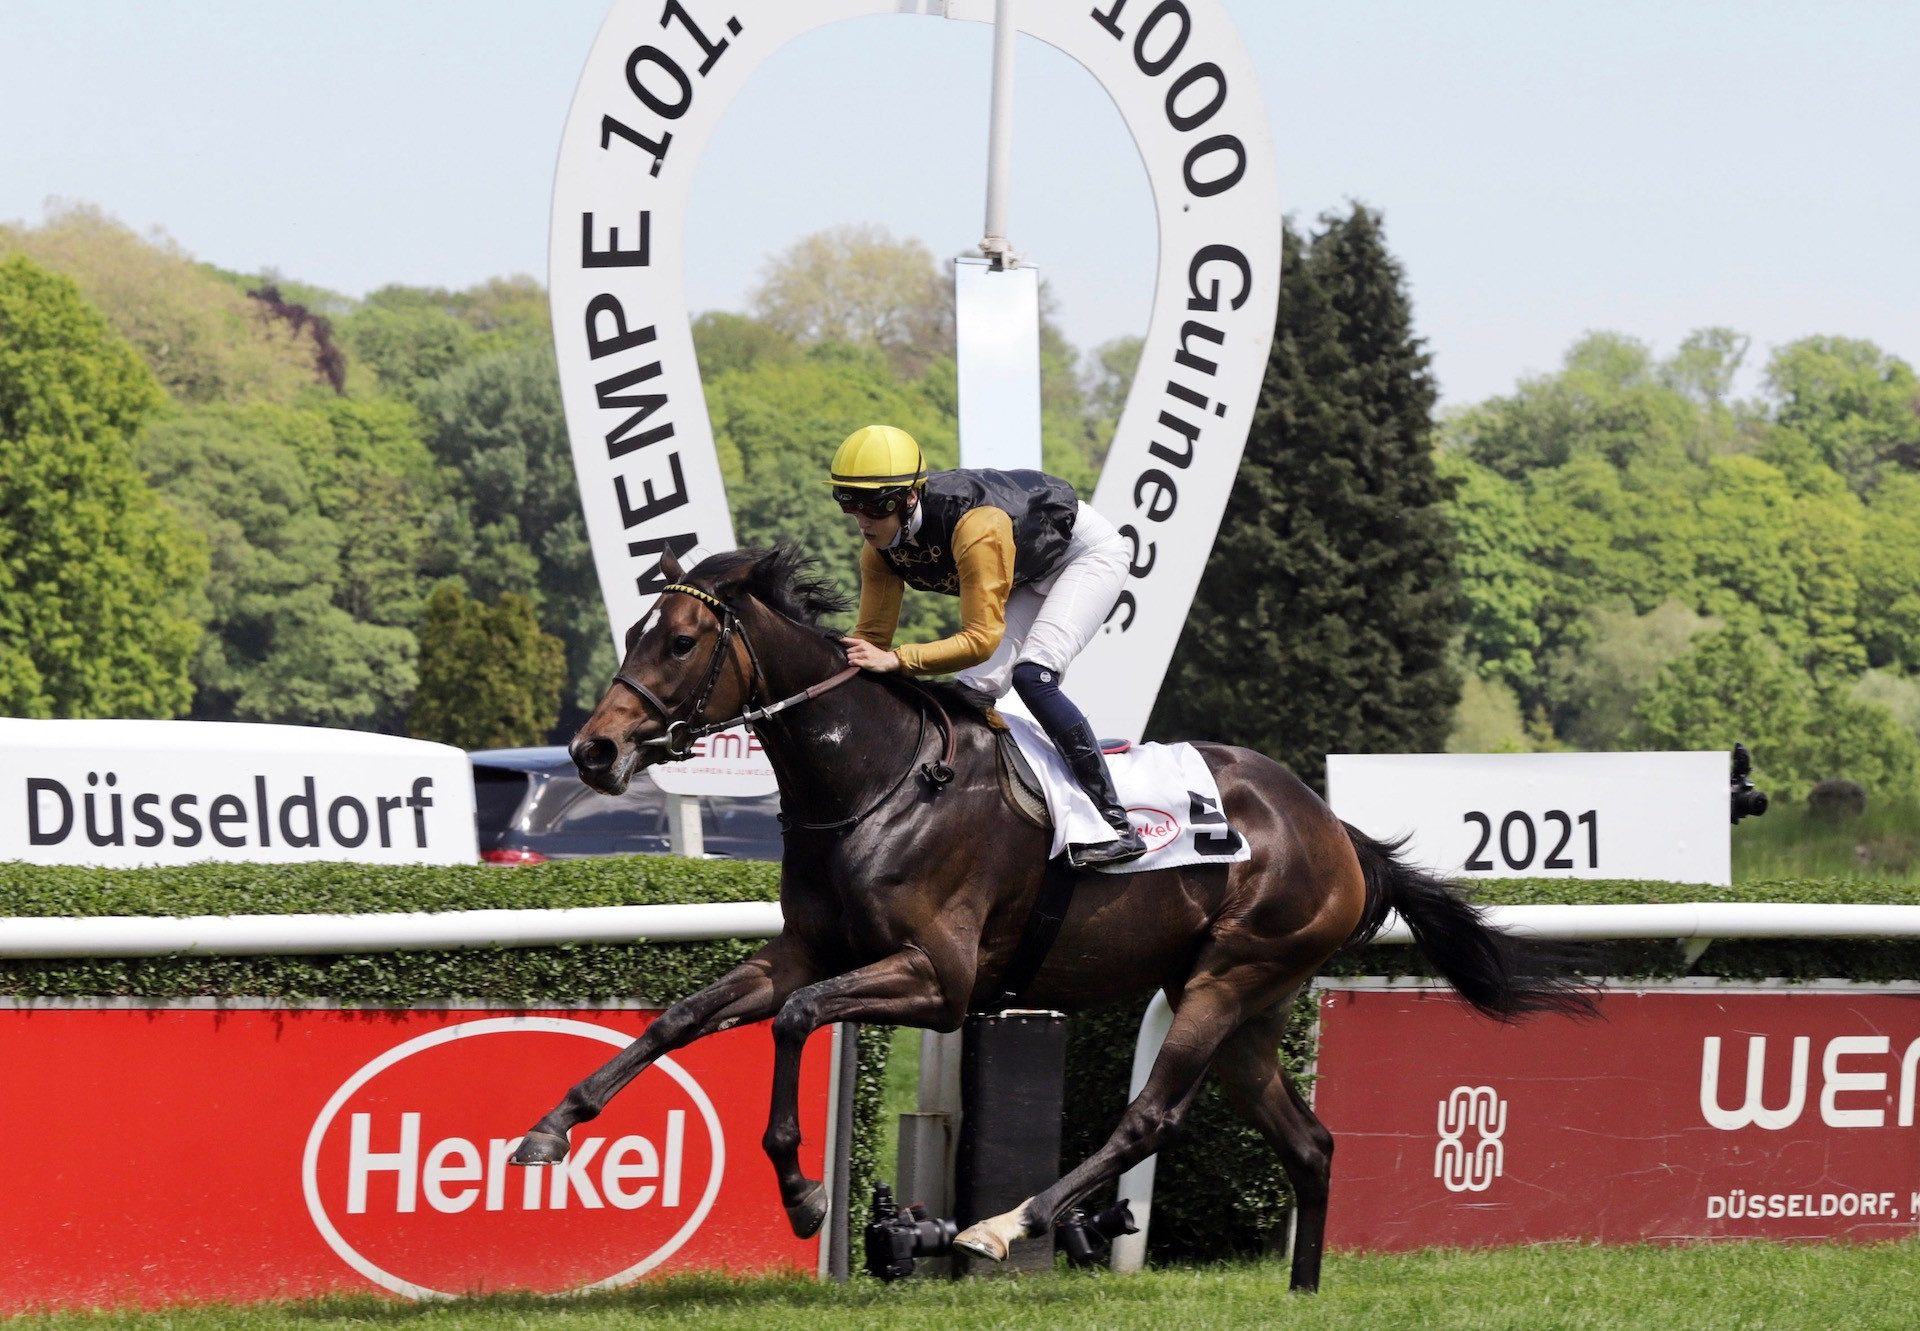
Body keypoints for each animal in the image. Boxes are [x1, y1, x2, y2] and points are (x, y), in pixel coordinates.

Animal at [506, 541, 1589, 1290]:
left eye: (681, 641)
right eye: (635, 636)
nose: (595, 750)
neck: (876, 778)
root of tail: (1334, 827)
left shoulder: (939, 980)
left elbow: (799, 1017)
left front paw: (806, 1193)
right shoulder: (808, 944)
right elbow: (685, 1015)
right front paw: (551, 1128)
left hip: (1228, 974)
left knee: (1152, 1113)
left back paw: (1006, 1222)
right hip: (1252, 1006)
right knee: (1311, 1141)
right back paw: (1303, 1285)